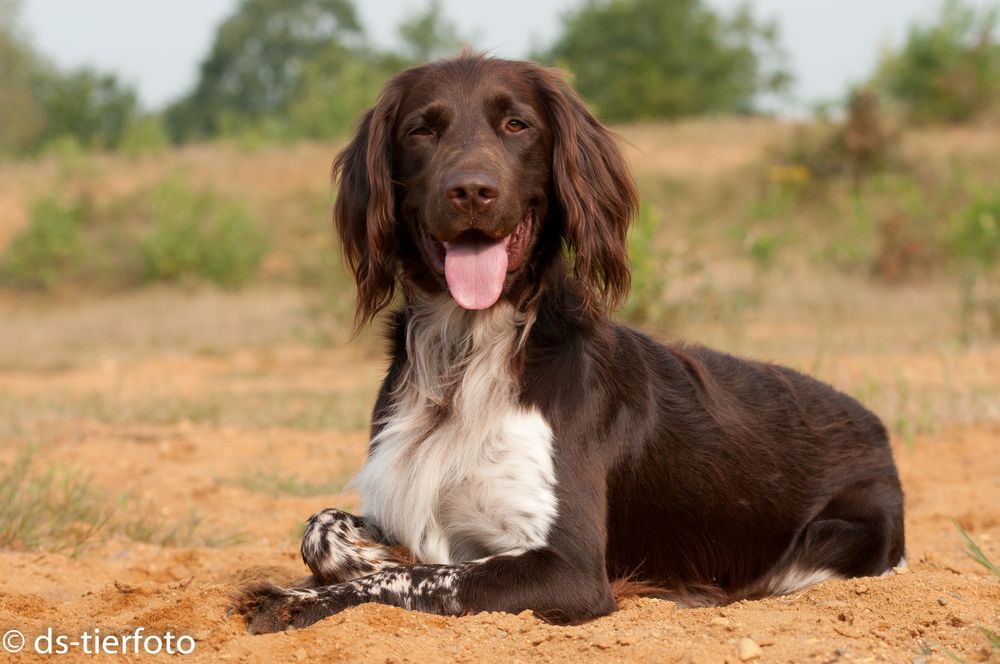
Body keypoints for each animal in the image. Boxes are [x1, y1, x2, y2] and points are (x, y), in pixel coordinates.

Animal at [234, 54, 908, 632]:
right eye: (421, 130)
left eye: (516, 124)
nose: (471, 190)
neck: (466, 355)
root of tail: (875, 423)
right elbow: (321, 527)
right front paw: (358, 556)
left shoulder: (570, 570)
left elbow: (422, 579)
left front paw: (300, 600)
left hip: (835, 537)